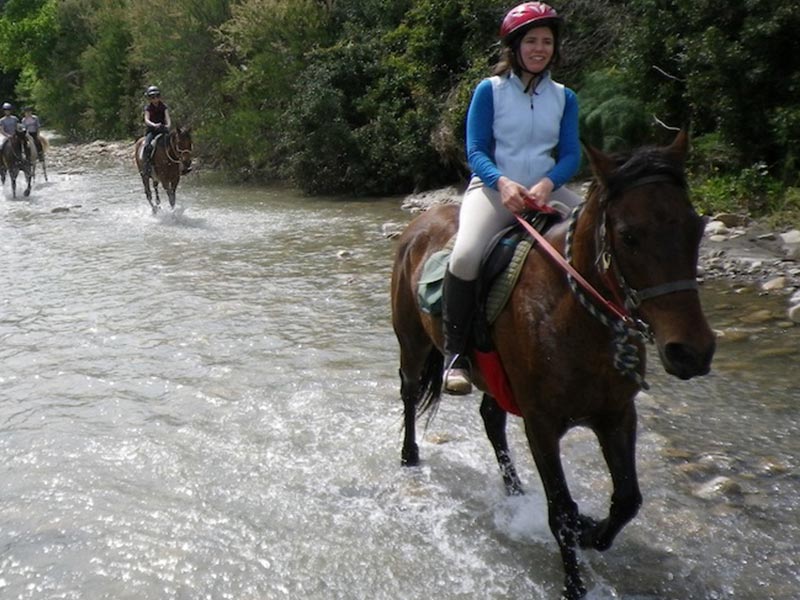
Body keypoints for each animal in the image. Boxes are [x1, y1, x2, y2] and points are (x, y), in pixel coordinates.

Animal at [390, 131, 716, 600]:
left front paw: (590, 530)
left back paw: (513, 490)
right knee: (411, 391)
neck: (572, 312)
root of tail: (418, 227)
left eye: (696, 228)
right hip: (414, 345)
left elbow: (627, 499)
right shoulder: (541, 423)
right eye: (628, 235)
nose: (693, 352)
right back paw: (410, 456)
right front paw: (574, 581)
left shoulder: (618, 415)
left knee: (491, 419)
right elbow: (560, 510)